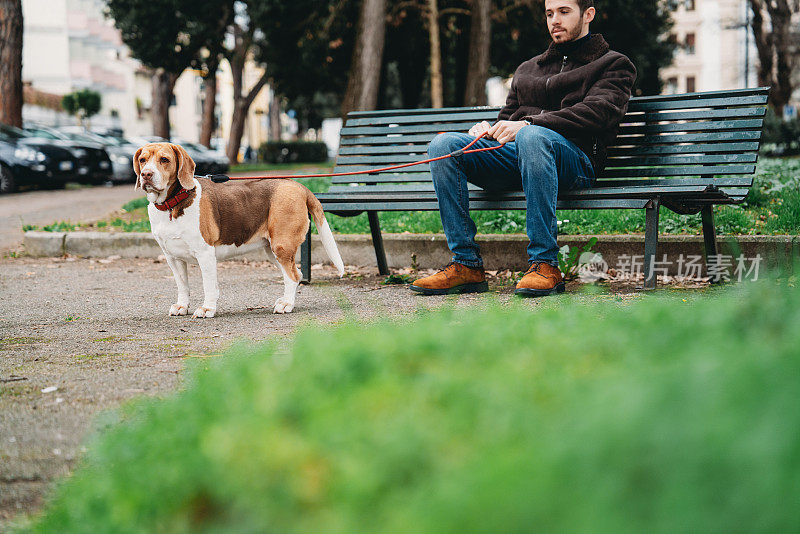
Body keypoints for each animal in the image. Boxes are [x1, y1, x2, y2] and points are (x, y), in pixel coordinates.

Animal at [134, 142, 344, 318]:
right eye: (143, 160)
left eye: (164, 160)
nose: (146, 174)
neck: (171, 205)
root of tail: (299, 186)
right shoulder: (172, 257)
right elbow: (182, 285)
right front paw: (182, 306)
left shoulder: (205, 254)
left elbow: (208, 285)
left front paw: (207, 308)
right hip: (273, 251)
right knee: (296, 274)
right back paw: (285, 301)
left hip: (281, 246)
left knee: (292, 276)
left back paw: (286, 305)